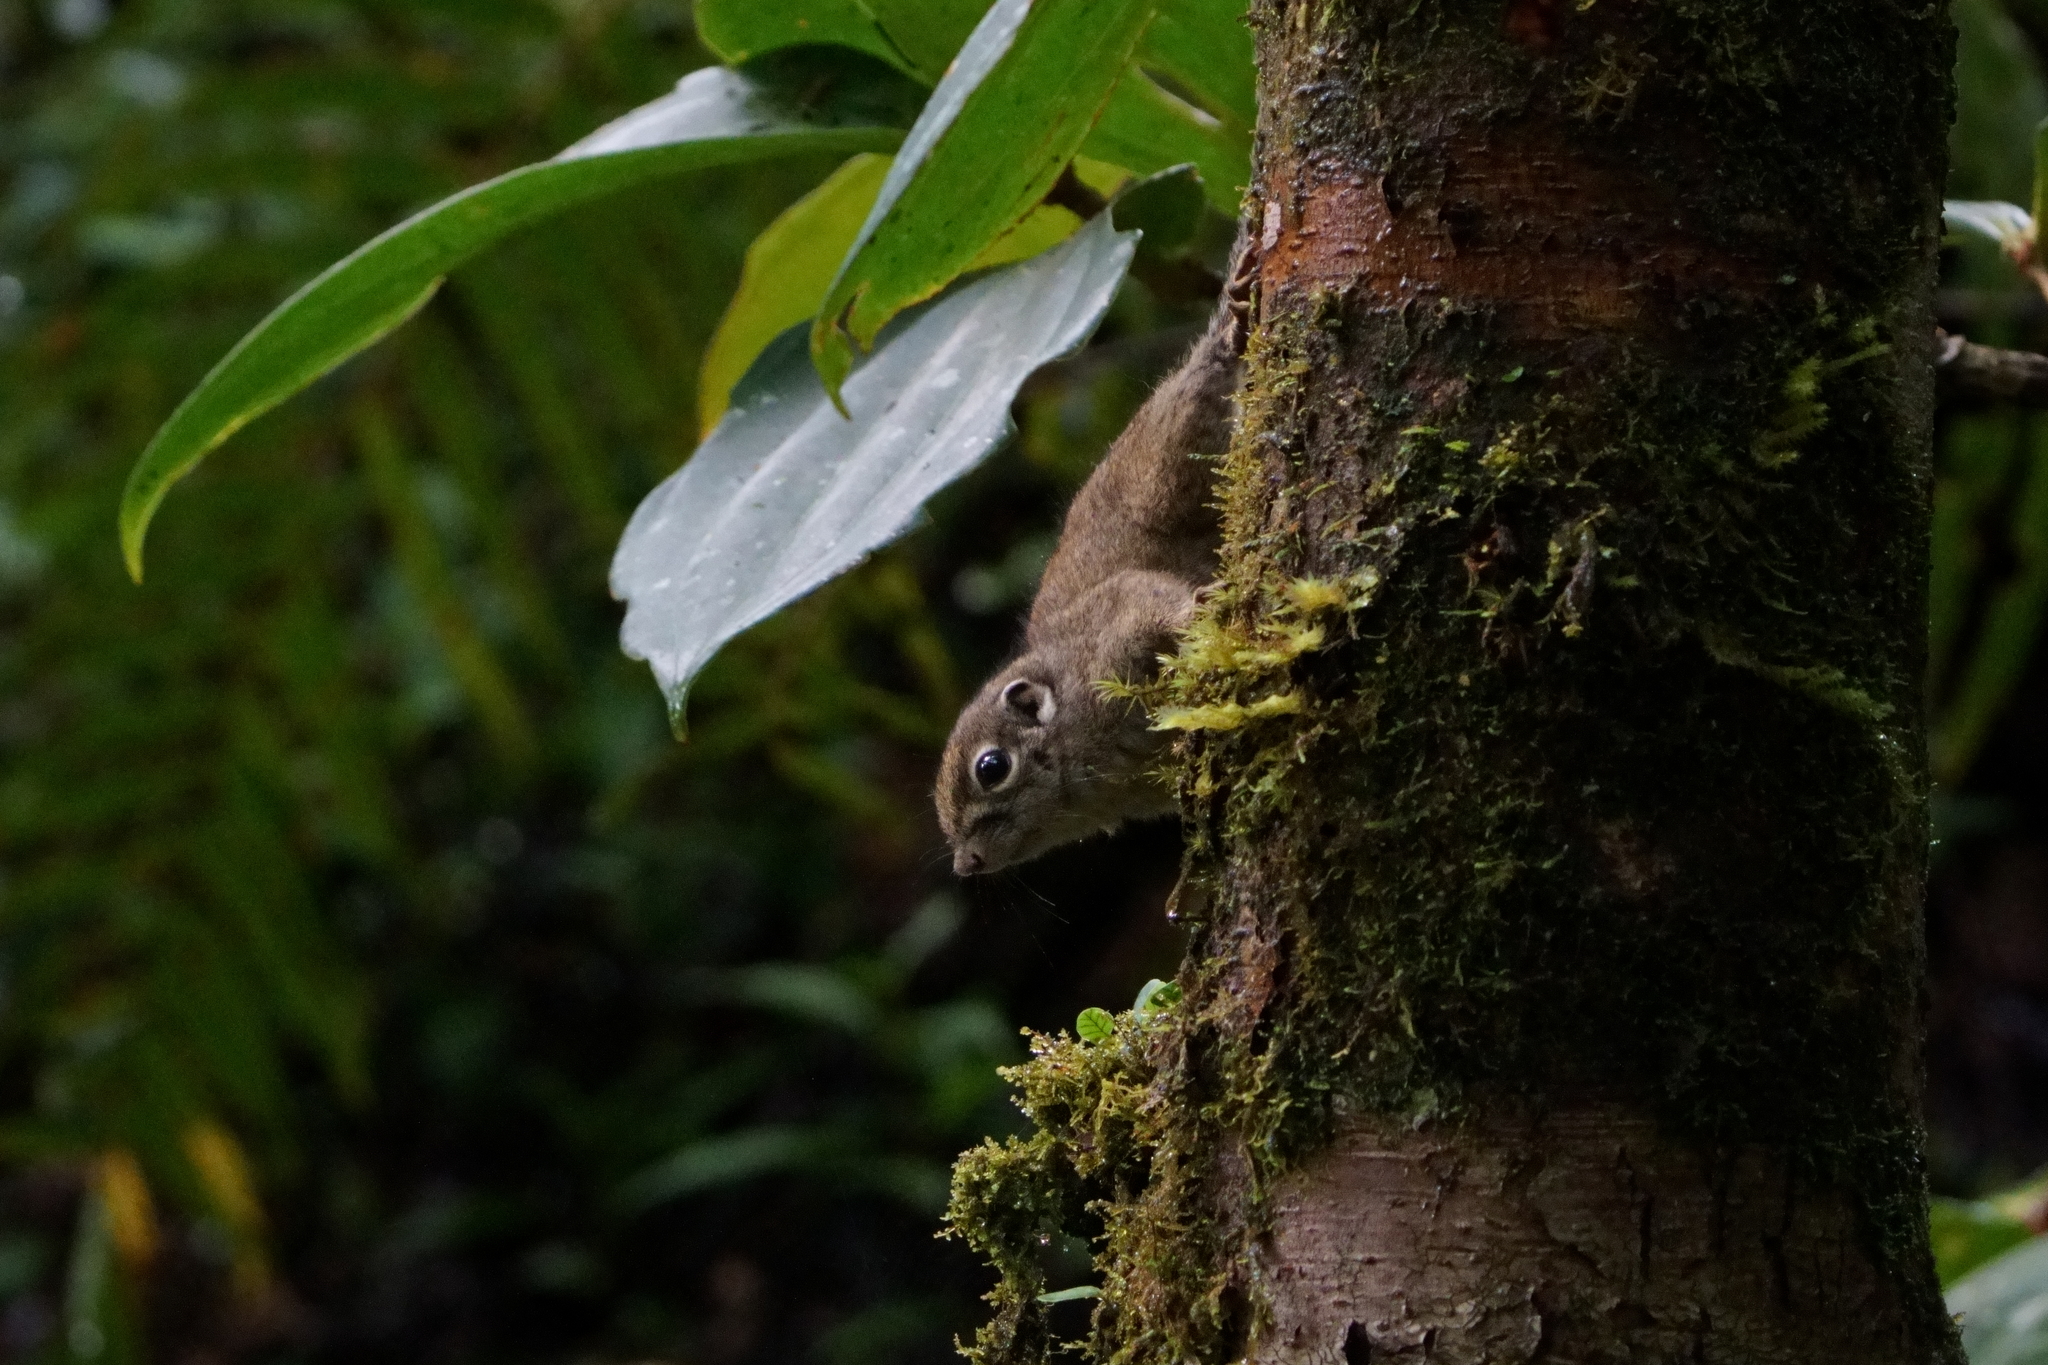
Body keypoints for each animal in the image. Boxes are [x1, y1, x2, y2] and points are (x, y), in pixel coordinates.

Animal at [935, 234, 1254, 875]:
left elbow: (1155, 602)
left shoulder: (1116, 625)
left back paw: (1228, 332)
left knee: (1201, 384)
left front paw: (1201, 609)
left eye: (991, 768)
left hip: (1166, 461)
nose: (966, 865)